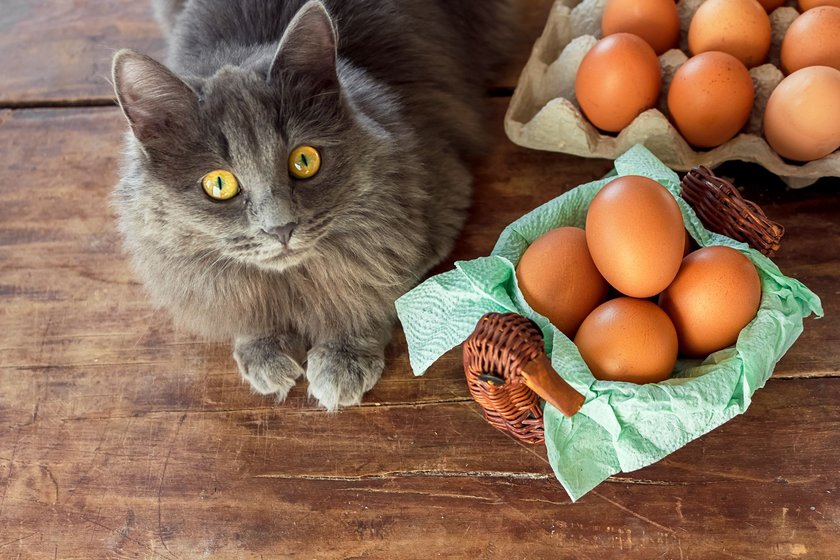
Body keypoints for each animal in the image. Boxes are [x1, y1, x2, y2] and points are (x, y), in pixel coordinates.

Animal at [113, 0, 512, 410]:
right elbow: (246, 306)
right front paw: (265, 352)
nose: (280, 228)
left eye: (304, 161)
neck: (291, 280)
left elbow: (374, 288)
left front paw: (343, 358)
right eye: (219, 185)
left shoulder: (437, 206)